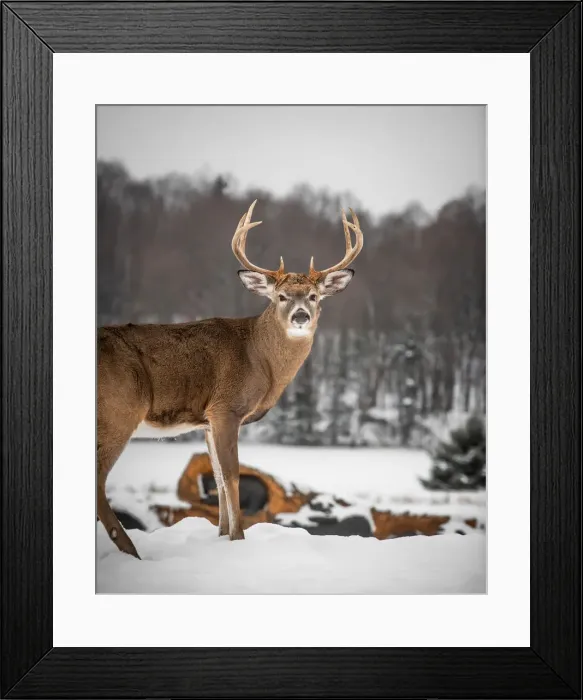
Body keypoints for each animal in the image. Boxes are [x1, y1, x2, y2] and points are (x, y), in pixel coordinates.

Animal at [97, 200, 364, 558]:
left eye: (314, 296)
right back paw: (131, 550)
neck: (259, 360)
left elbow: (219, 480)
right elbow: (234, 476)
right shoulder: (226, 408)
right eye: (280, 296)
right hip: (120, 412)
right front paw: (238, 538)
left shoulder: (208, 420)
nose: (301, 317)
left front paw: (222, 535)